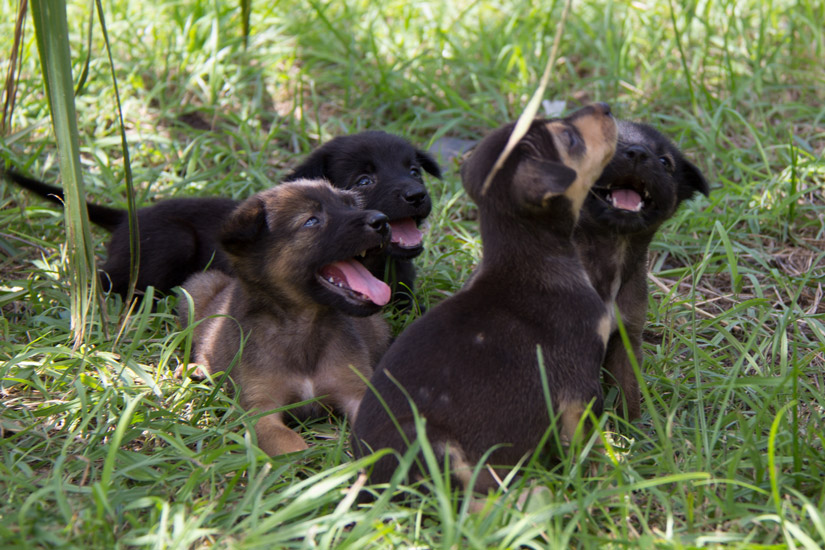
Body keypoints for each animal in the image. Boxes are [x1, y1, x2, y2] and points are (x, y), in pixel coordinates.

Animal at [3, 133, 440, 306]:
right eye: (364, 181)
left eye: (414, 170)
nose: (417, 196)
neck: (377, 265)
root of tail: (130, 215)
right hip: (169, 244)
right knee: (106, 279)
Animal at [183, 180, 392, 458]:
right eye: (311, 221)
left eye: (349, 205)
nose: (382, 220)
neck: (303, 325)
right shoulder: (260, 409)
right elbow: (290, 445)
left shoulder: (356, 392)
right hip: (198, 287)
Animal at [350, 103, 616, 496]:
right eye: (569, 138)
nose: (605, 107)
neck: (531, 259)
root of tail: (370, 486)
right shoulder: (580, 385)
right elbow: (591, 445)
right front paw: (608, 477)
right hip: (434, 448)